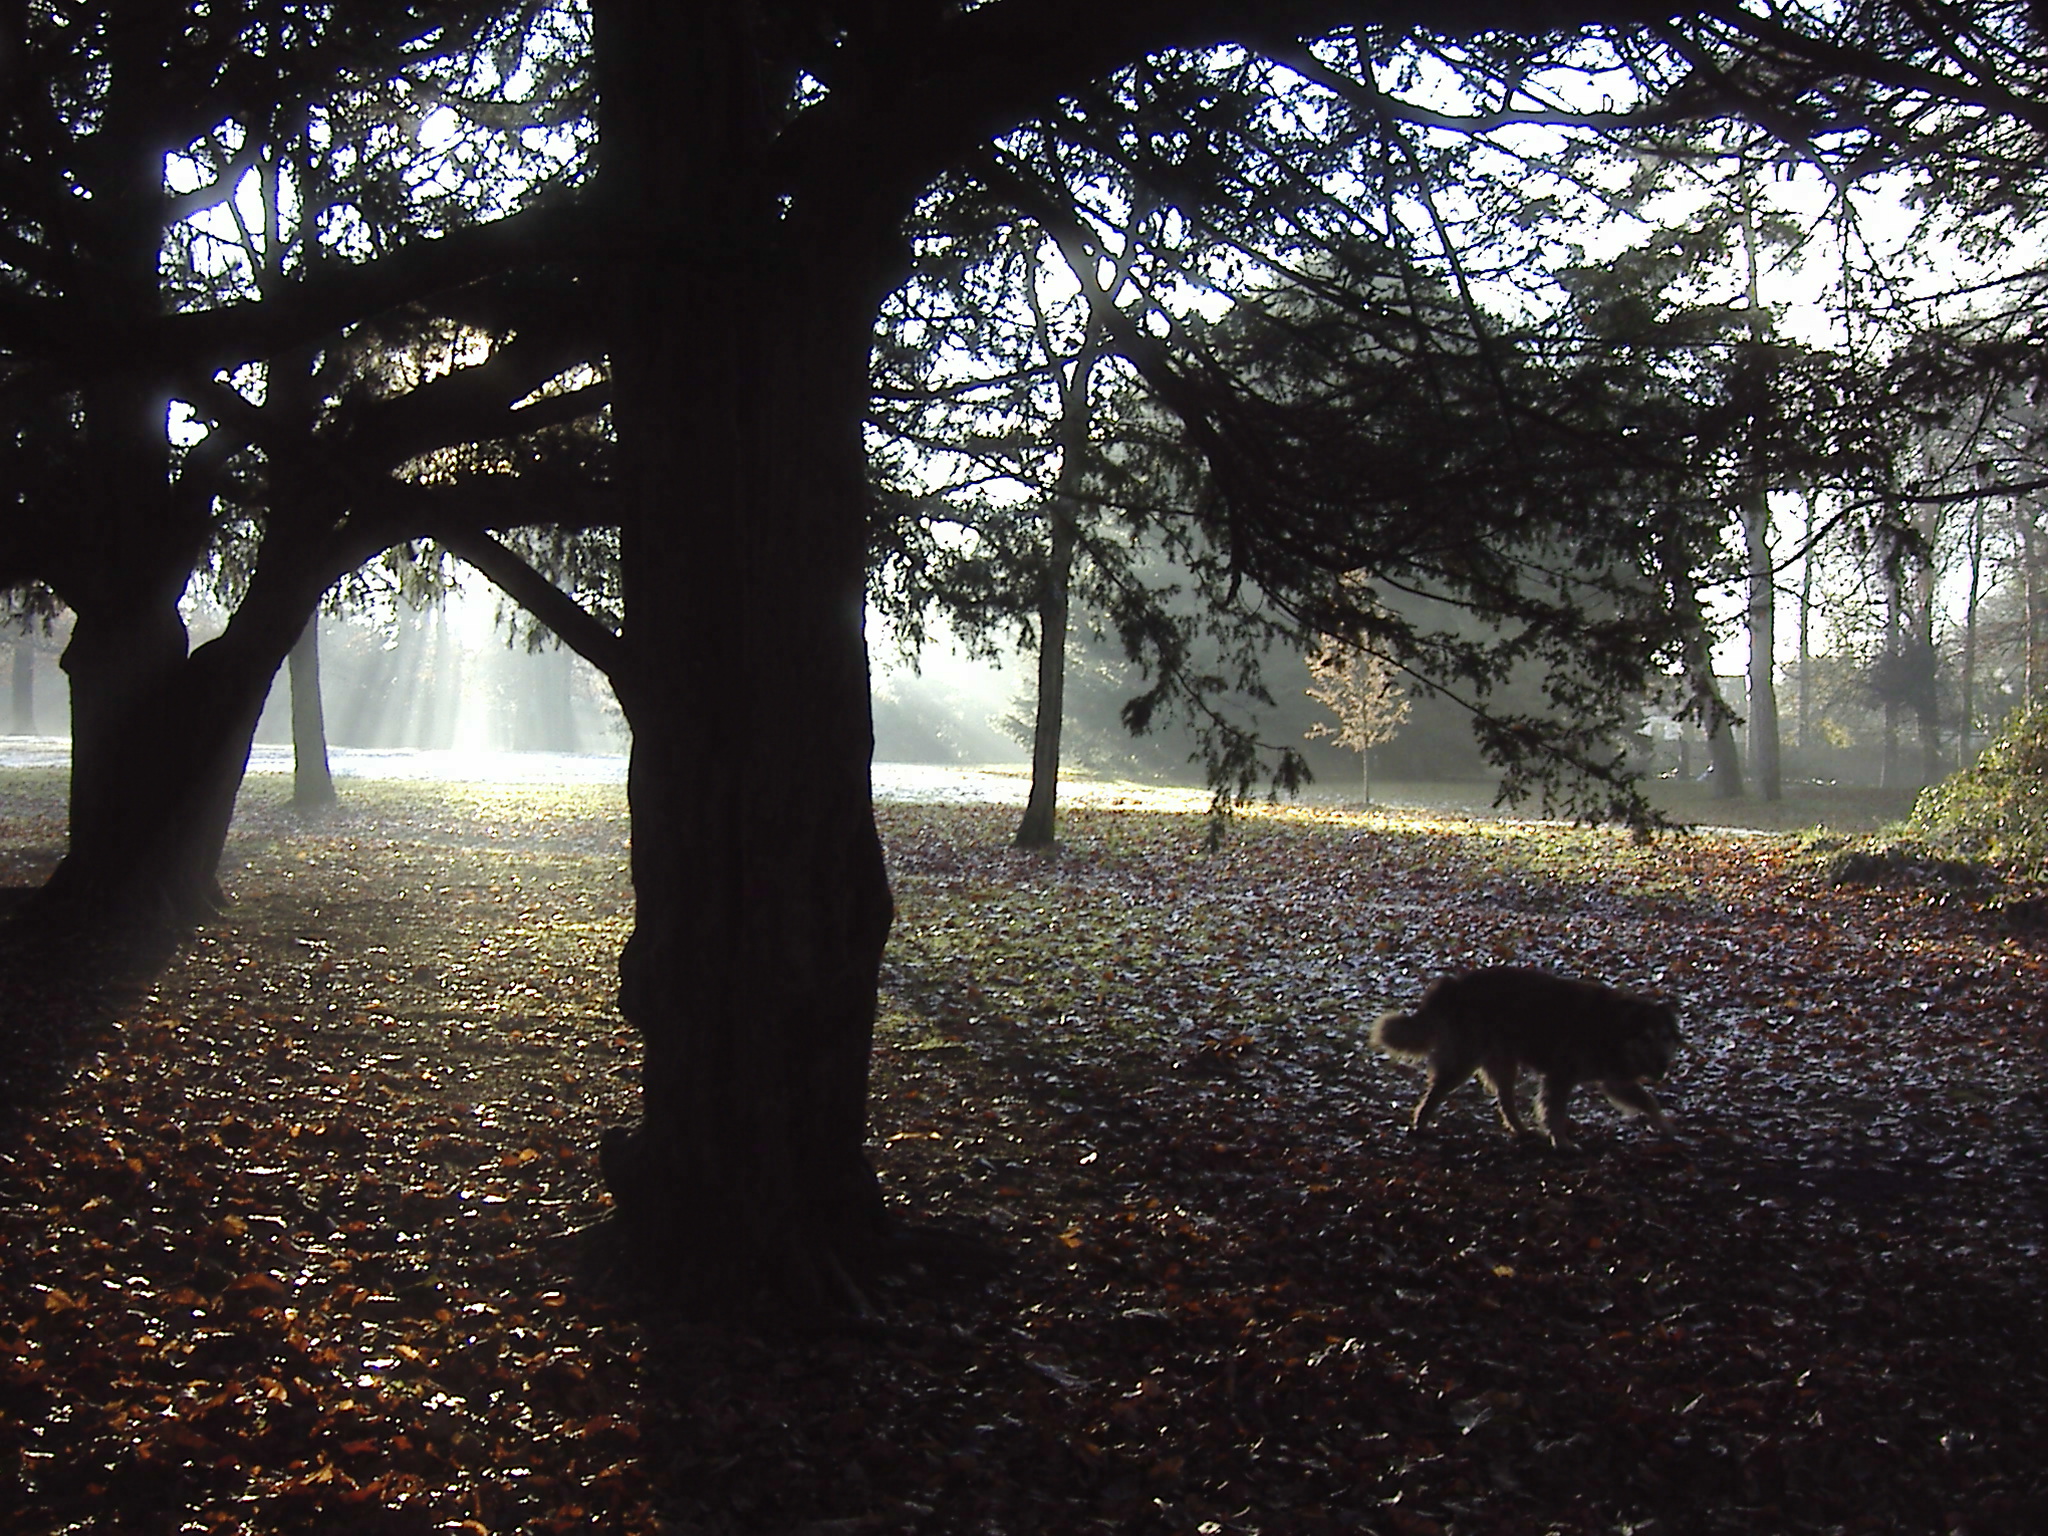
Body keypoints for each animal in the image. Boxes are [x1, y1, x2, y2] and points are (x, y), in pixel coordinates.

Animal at [1376, 966, 1679, 1146]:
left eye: (1665, 1037)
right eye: (1646, 1037)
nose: (1663, 1064)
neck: (1612, 1025)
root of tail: (1455, 984)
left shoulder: (1615, 1080)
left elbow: (1648, 1101)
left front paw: (1665, 1128)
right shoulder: (1560, 1076)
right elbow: (1554, 1112)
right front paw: (1561, 1142)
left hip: (1503, 1063)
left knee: (1505, 1101)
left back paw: (1520, 1130)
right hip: (1464, 1060)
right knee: (1435, 1093)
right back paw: (1420, 1125)